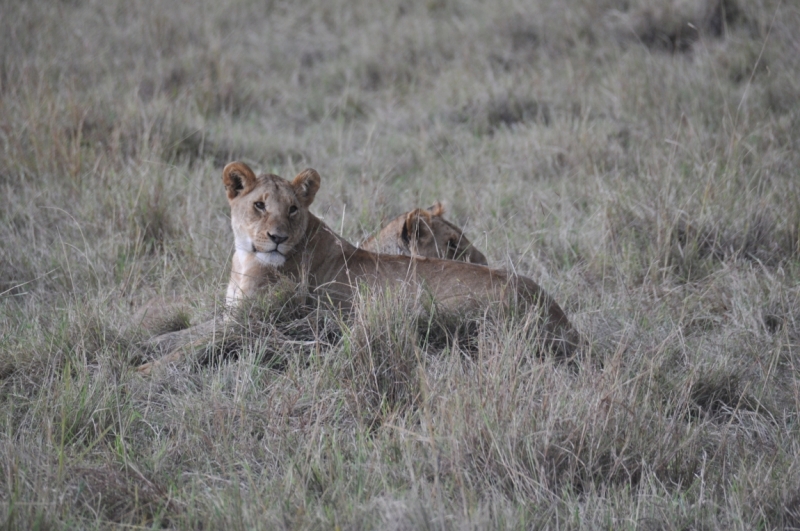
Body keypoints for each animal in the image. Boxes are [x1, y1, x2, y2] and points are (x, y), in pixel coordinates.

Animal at [136, 162, 576, 374]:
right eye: (259, 205)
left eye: (292, 209)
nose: (276, 237)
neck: (245, 258)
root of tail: (560, 318)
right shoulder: (236, 314)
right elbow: (189, 331)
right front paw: (146, 344)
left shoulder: (253, 322)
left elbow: (197, 343)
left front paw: (144, 370)